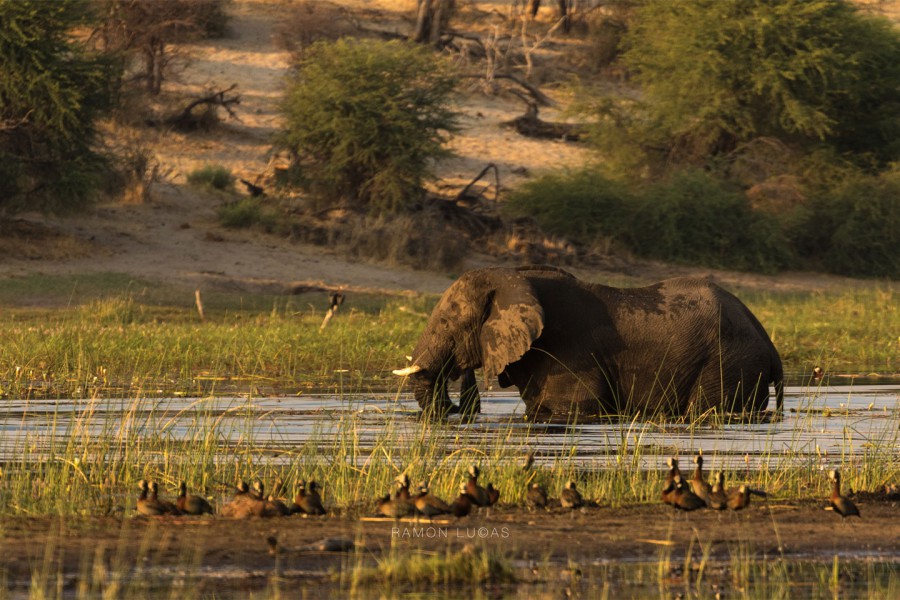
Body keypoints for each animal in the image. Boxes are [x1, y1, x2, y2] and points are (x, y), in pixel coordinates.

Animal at [392, 268, 780, 422]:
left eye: (447, 323)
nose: (455, 404)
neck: (512, 277)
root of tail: (771, 346)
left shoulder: (567, 352)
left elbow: (575, 406)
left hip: (730, 362)